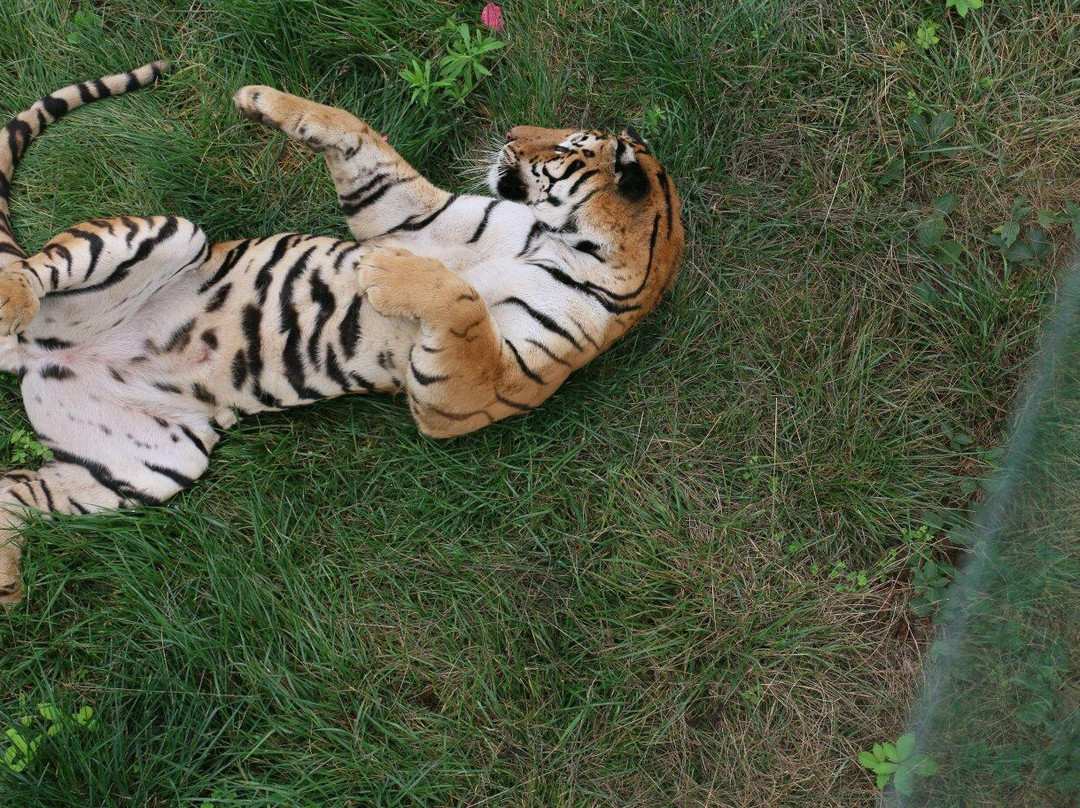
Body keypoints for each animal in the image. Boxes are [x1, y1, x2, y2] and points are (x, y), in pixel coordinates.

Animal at [0, 63, 682, 604]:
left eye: (564, 145)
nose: (512, 133)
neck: (557, 240)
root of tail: (38, 354)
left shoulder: (473, 392)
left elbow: (463, 302)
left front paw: (385, 272)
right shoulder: (413, 215)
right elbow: (355, 130)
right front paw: (260, 99)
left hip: (152, 465)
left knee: (13, 487)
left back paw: (6, 584)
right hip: (171, 238)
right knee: (28, 274)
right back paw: (12, 300)